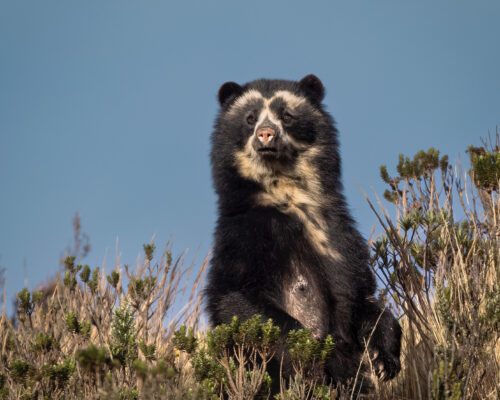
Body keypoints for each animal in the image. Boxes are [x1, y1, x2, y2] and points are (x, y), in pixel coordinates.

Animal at [205, 74, 400, 390]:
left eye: (287, 115)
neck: (287, 194)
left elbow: (361, 296)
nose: (266, 134)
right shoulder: (243, 235)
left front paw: (384, 361)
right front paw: (315, 355)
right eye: (250, 118)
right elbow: (235, 297)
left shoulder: (338, 237)